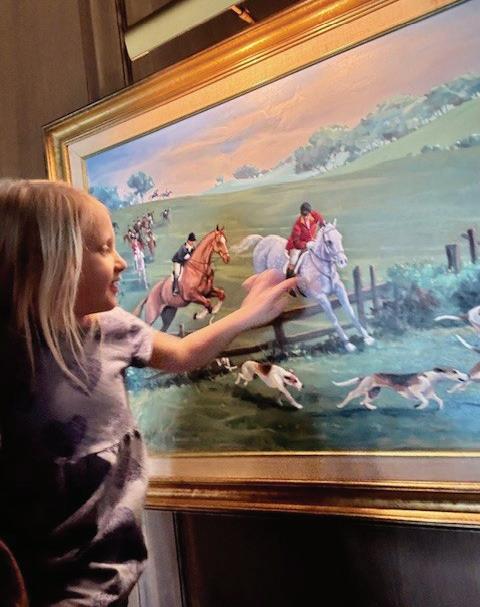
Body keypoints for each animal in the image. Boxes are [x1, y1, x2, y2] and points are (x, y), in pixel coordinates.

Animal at [233, 221, 374, 352]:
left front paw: (367, 338)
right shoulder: (321, 297)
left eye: (340, 237)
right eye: (329, 242)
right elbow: (334, 319)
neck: (323, 268)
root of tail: (263, 240)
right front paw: (348, 345)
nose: (343, 261)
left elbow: (351, 312)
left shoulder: (340, 290)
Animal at [334, 367, 468, 411]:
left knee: (364, 401)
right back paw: (340, 405)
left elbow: (439, 400)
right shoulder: (415, 390)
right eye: (454, 371)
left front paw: (439, 409)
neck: (431, 378)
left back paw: (371, 408)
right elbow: (425, 401)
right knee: (351, 394)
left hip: (374, 392)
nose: (467, 376)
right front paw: (419, 407)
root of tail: (367, 375)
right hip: (363, 389)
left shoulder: (429, 394)